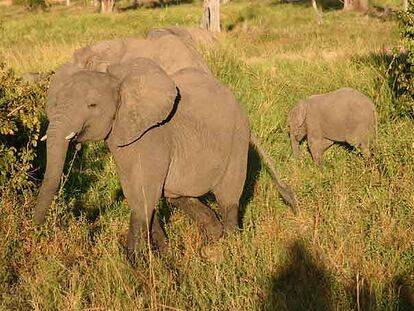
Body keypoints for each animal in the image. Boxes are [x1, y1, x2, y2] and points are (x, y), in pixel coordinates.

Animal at [34, 58, 294, 258]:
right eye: (54, 103)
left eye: (92, 105)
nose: (33, 231)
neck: (118, 83)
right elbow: (139, 195)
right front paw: (166, 256)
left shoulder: (152, 137)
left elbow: (143, 195)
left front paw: (136, 266)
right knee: (177, 196)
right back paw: (212, 237)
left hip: (237, 141)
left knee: (228, 198)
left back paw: (229, 247)